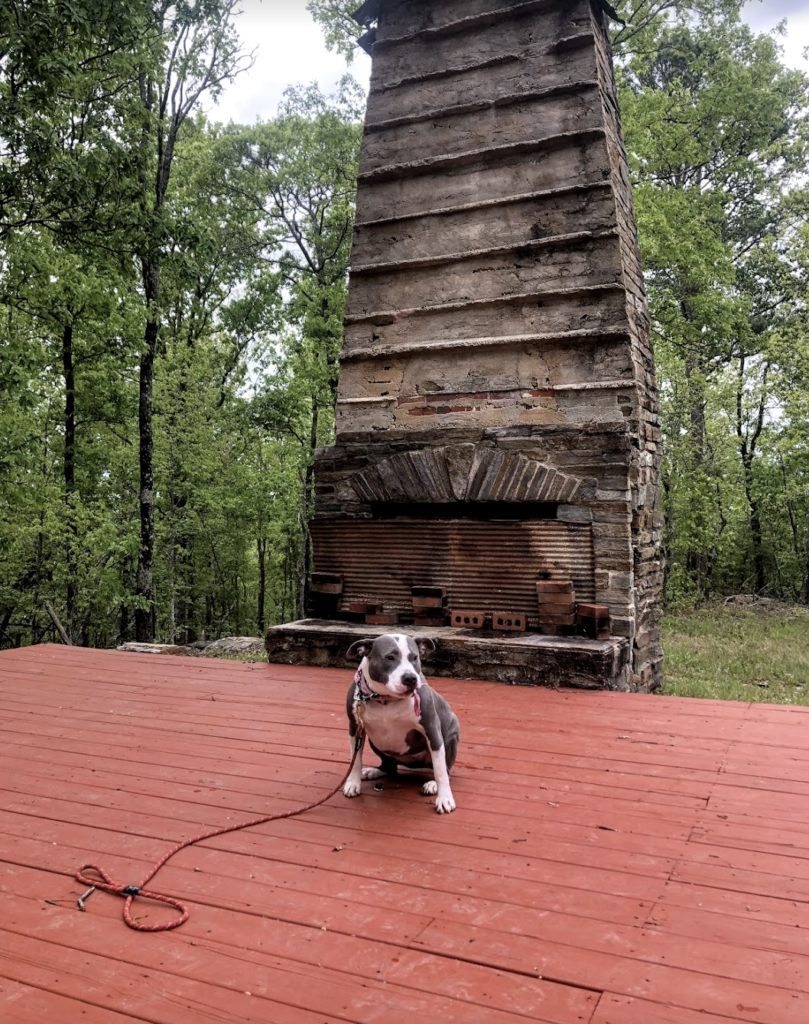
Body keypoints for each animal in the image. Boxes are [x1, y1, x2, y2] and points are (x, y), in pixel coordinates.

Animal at [342, 634, 462, 811]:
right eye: (390, 657)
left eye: (415, 657)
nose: (410, 678)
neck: (386, 699)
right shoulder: (355, 728)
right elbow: (355, 760)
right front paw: (352, 783)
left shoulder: (432, 730)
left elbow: (440, 771)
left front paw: (445, 798)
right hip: (376, 742)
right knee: (390, 766)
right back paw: (374, 771)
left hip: (450, 738)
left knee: (445, 770)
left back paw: (432, 784)